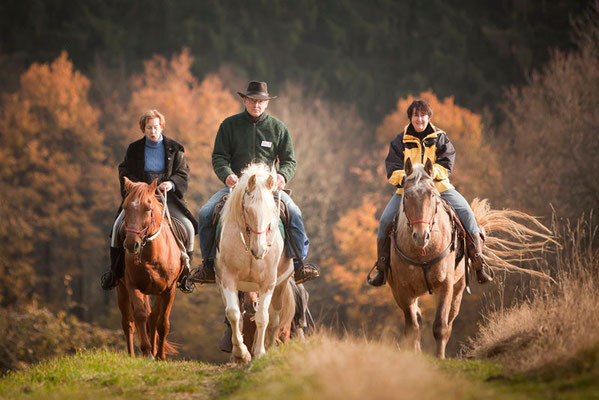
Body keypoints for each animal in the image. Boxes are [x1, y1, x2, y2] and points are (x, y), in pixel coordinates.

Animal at [116, 177, 184, 360]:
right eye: (125, 207)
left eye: (148, 208)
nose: (131, 244)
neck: (152, 257)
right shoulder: (132, 286)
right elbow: (140, 315)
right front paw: (147, 351)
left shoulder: (169, 289)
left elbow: (162, 323)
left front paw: (160, 355)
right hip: (121, 288)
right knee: (128, 322)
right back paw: (132, 355)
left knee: (153, 319)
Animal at [218, 162, 298, 362]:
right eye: (247, 210)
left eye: (272, 211)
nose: (260, 250)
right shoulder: (228, 279)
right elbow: (233, 314)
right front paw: (241, 353)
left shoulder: (268, 282)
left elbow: (263, 317)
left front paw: (260, 353)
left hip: (280, 286)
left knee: (274, 317)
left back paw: (267, 346)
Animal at [390, 158, 552, 358]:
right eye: (406, 196)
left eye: (432, 196)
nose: (421, 236)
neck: (422, 252)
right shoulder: (404, 291)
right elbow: (413, 328)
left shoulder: (445, 285)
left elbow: (441, 326)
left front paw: (440, 357)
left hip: (458, 288)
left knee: (449, 321)